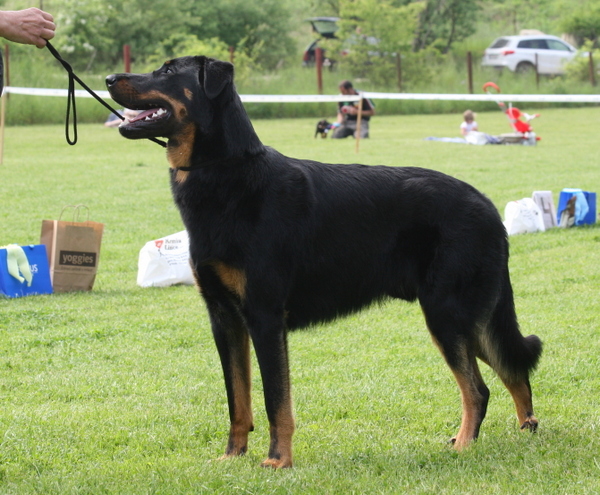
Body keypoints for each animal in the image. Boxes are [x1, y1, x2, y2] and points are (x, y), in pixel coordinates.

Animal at [105, 57, 540, 468]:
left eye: (167, 71)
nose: (109, 79)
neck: (226, 173)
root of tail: (487, 206)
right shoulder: (225, 319)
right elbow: (237, 401)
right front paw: (233, 456)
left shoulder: (264, 318)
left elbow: (274, 402)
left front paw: (278, 460)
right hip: (468, 320)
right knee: (513, 370)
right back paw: (527, 430)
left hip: (447, 315)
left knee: (479, 389)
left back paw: (465, 445)